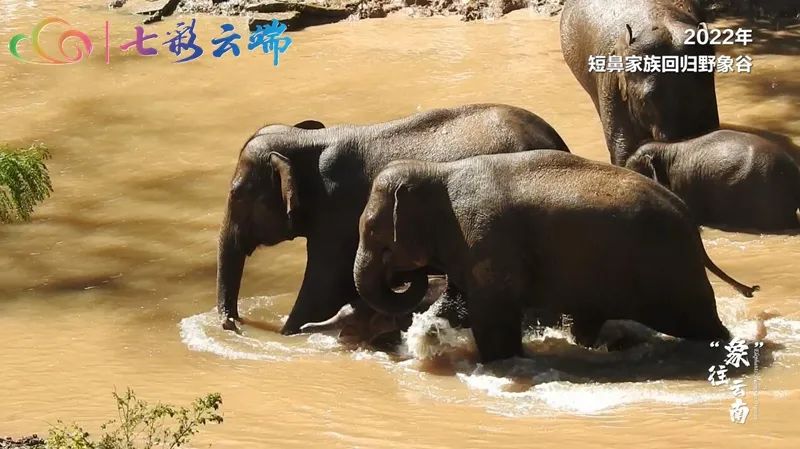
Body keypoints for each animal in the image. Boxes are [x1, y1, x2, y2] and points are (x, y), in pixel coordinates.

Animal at [217, 104, 570, 335]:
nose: (232, 324)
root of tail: (559, 142)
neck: (304, 142)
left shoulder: (338, 219)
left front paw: (286, 333)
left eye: (236, 194)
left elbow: (324, 290)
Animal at [353, 150, 758, 363]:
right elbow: (460, 302)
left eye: (372, 232)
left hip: (670, 269)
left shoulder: (489, 242)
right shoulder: (469, 249)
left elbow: (491, 314)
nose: (404, 275)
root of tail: (687, 217)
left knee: (698, 321)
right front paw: (429, 336)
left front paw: (500, 363)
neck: (439, 172)